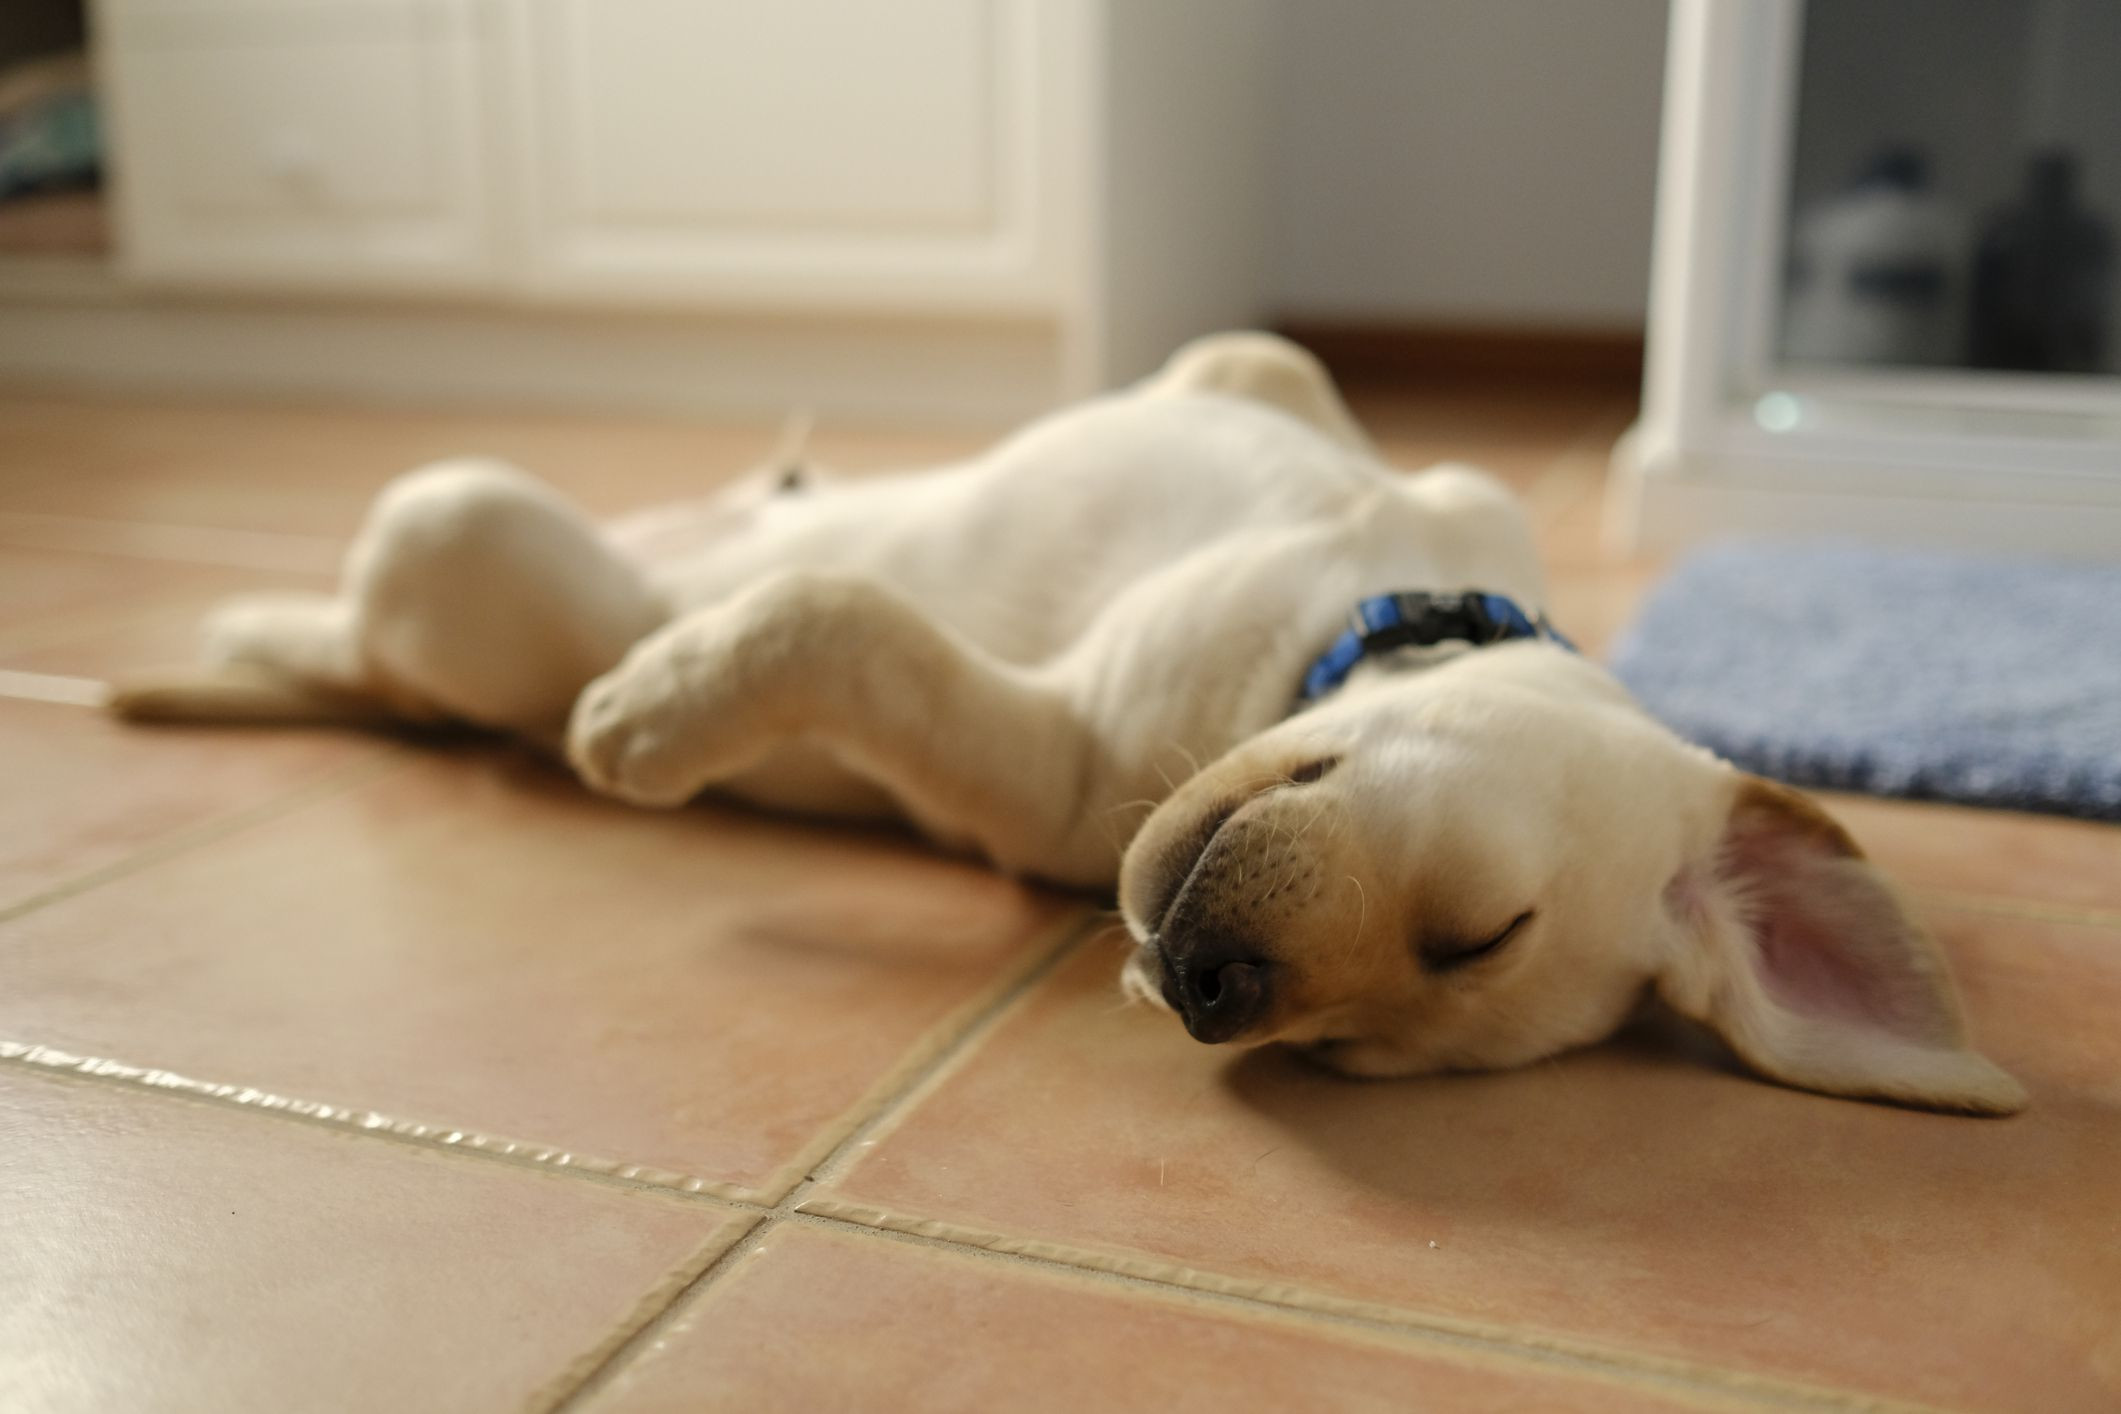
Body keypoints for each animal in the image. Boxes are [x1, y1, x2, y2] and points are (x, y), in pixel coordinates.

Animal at [111, 332, 2019, 1119]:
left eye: (1351, 1055)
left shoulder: (1044, 769)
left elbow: (843, 620)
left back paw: (266, 646)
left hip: (467, 534)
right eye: (1490, 924)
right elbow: (1246, 356)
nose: (1205, 991)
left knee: (389, 641)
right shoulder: (1309, 423)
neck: (1360, 610)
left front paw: (654, 711)